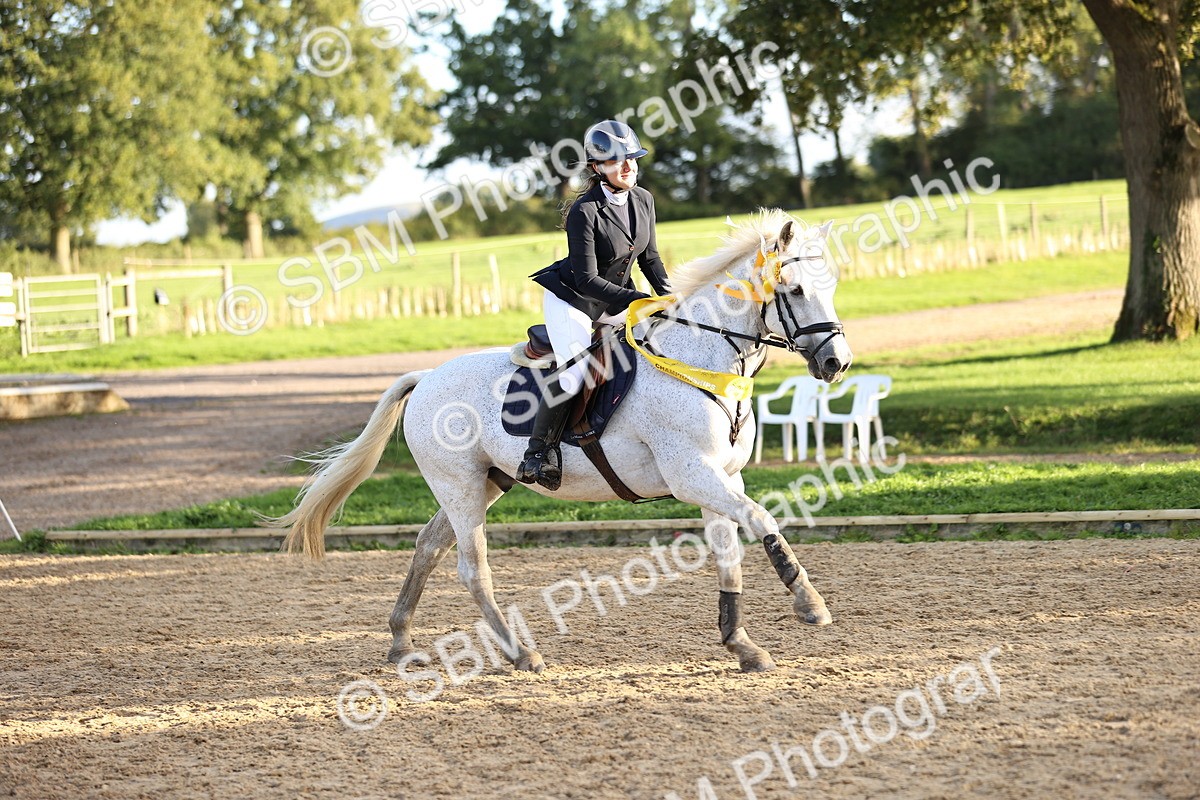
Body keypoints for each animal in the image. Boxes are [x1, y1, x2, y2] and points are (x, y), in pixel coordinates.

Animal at [271, 210, 853, 673]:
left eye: (831, 286)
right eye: (795, 291)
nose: (836, 363)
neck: (700, 362)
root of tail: (427, 377)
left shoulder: (720, 478)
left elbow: (729, 555)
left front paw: (742, 645)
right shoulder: (693, 476)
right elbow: (763, 518)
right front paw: (809, 604)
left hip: (486, 481)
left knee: (428, 546)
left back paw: (399, 641)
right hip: (460, 485)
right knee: (471, 568)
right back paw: (520, 654)